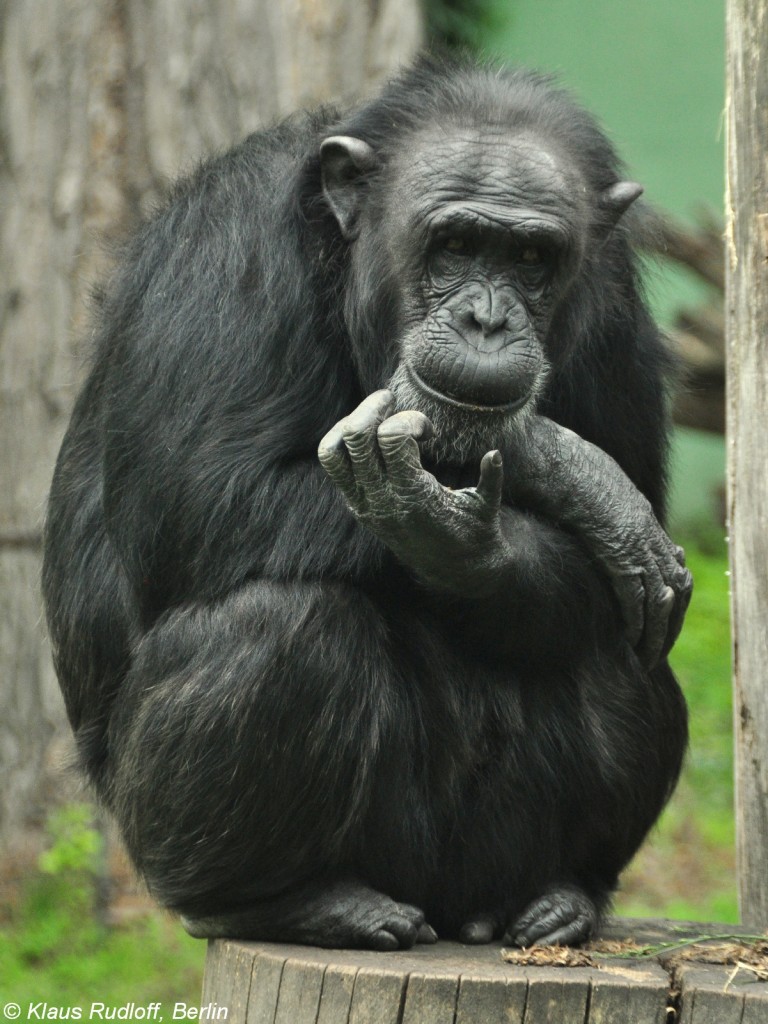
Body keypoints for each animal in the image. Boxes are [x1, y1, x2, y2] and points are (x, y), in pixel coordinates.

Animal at [41, 56, 692, 950]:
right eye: (455, 244)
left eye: (532, 256)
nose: (487, 319)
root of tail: (449, 914)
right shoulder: (222, 250)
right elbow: (202, 495)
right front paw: (577, 475)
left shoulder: (615, 298)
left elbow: (627, 548)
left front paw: (487, 533)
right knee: (283, 627)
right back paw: (281, 901)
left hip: (490, 857)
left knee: (612, 641)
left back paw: (566, 895)